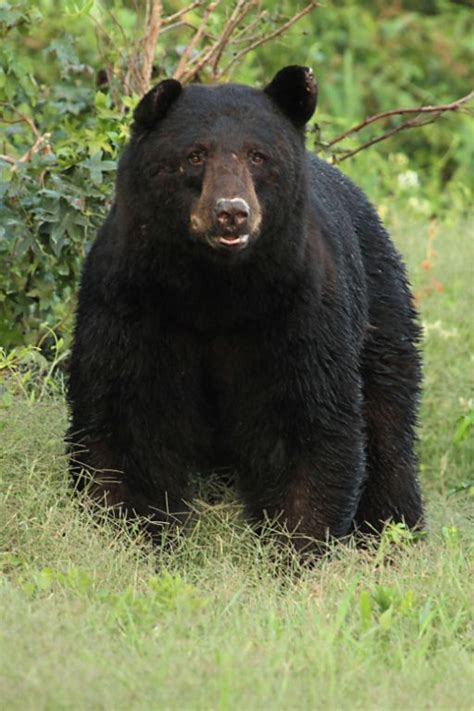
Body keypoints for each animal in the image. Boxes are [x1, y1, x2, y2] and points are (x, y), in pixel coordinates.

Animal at [65, 67, 422, 548]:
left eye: (258, 156)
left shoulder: (299, 311)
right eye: (195, 155)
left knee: (389, 422)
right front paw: (129, 532)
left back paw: (394, 531)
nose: (231, 213)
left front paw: (296, 546)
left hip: (381, 309)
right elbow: (124, 417)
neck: (217, 291)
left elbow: (309, 422)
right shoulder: (131, 302)